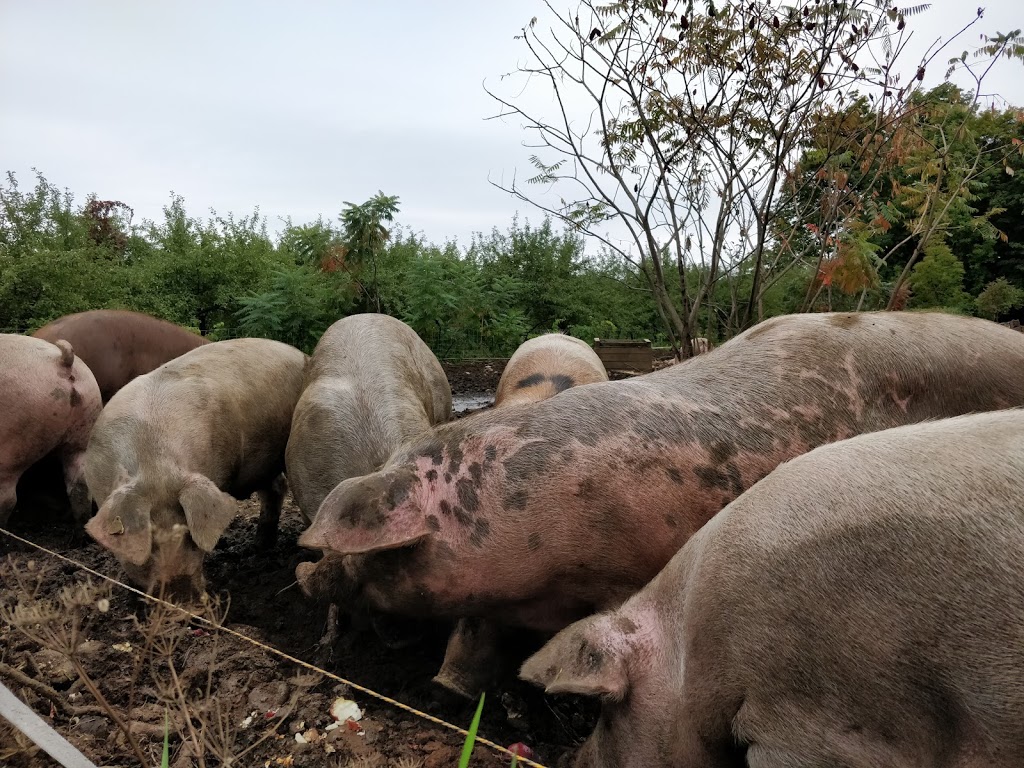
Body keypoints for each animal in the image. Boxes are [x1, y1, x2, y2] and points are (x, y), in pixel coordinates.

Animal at [81, 335, 305, 593]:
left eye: (189, 533)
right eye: (151, 540)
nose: (180, 592)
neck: (153, 463)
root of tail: (300, 354)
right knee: (275, 489)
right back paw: (259, 546)